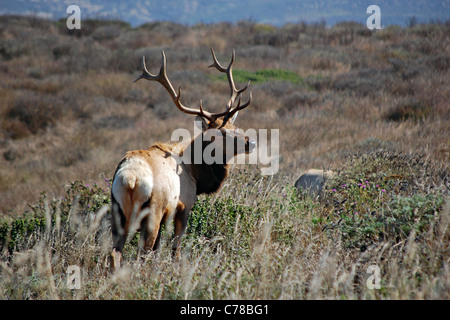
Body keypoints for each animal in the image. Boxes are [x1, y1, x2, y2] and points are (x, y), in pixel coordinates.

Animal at [110, 48, 255, 268]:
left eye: (234, 126)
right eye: (221, 132)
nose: (250, 141)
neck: (195, 172)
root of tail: (130, 179)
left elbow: (158, 251)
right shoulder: (183, 207)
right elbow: (175, 250)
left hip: (117, 213)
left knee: (114, 253)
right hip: (152, 212)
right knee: (141, 254)